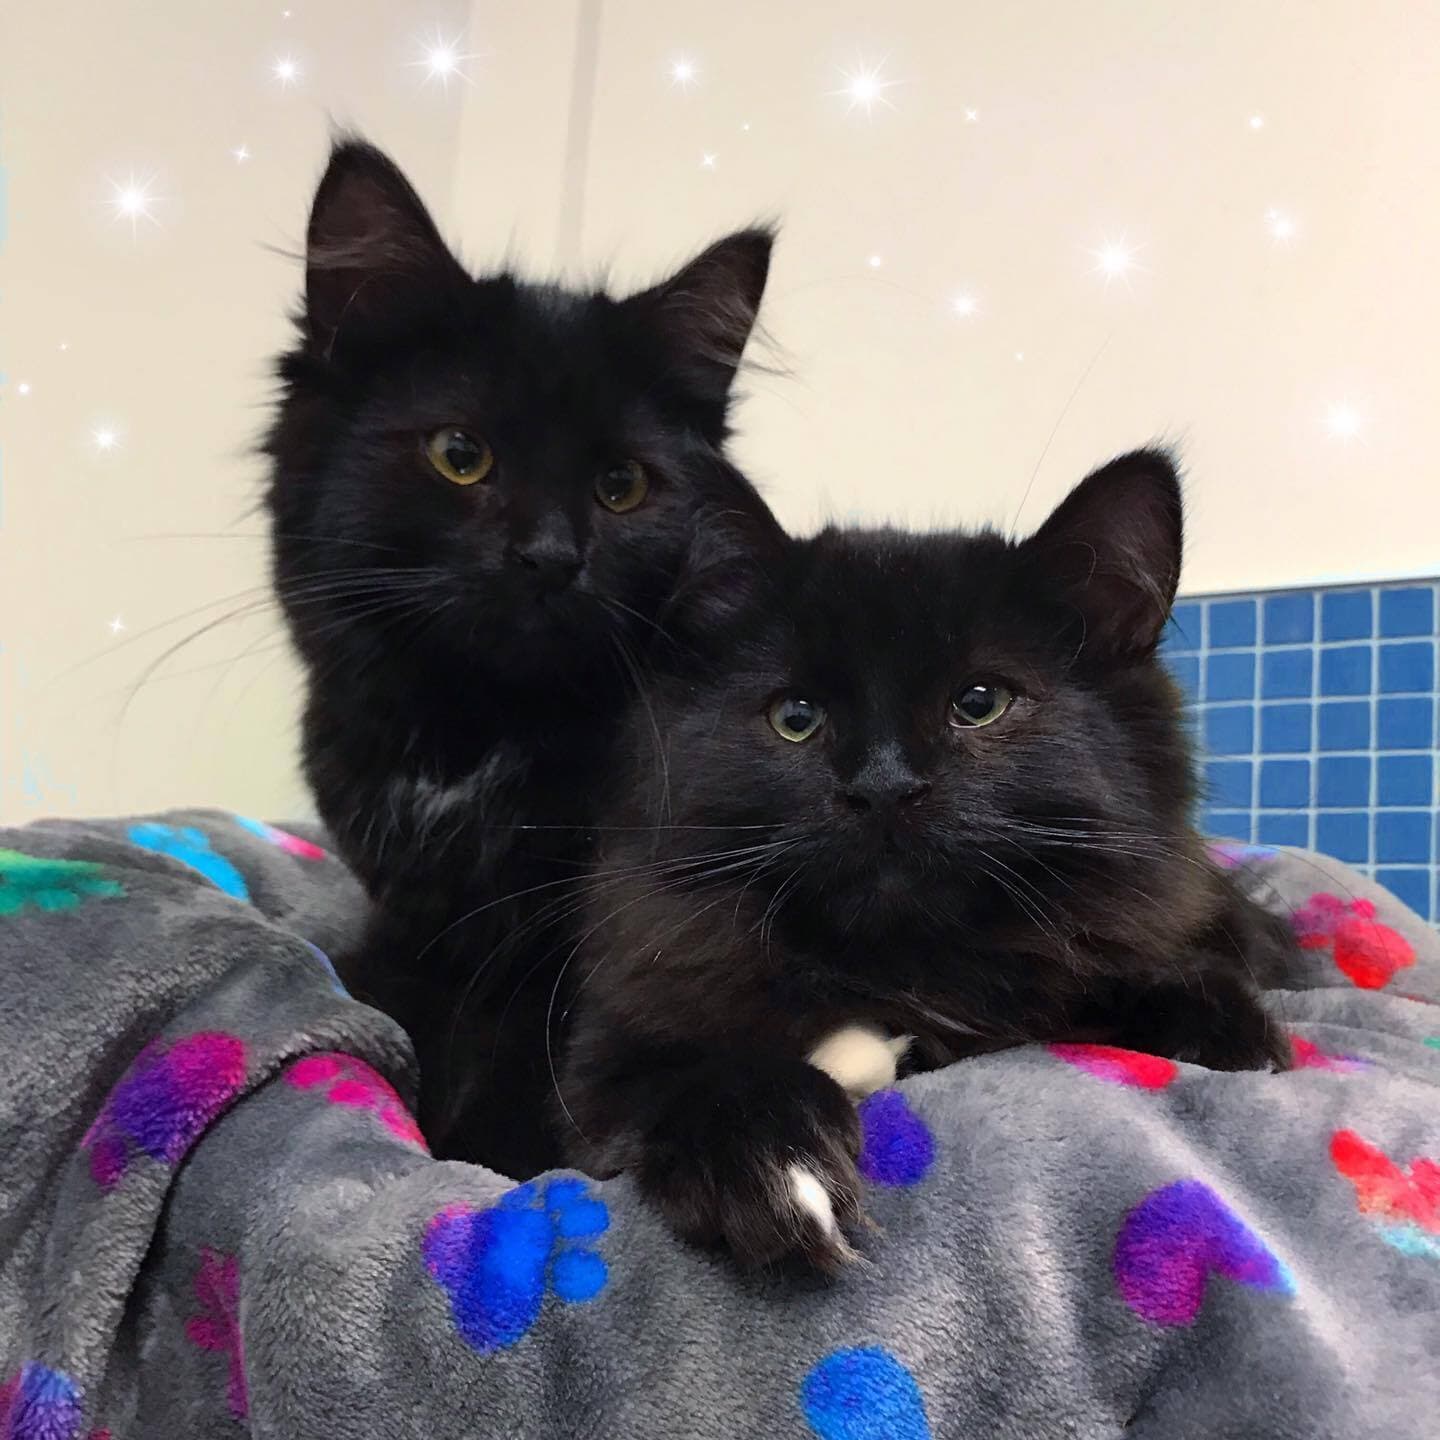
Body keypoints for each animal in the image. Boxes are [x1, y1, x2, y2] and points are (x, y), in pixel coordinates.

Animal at [265, 137, 780, 1178]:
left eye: (621, 485)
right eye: (460, 454)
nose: (550, 556)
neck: (482, 734)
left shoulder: (566, 947)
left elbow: (529, 1067)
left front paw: (487, 1171)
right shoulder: (417, 922)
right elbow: (403, 1014)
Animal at [557, 448, 1299, 1269]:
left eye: (979, 703)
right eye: (796, 717)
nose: (883, 787)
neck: (905, 968)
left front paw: (1225, 1038)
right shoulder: (603, 1062)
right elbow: (689, 1076)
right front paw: (773, 1159)